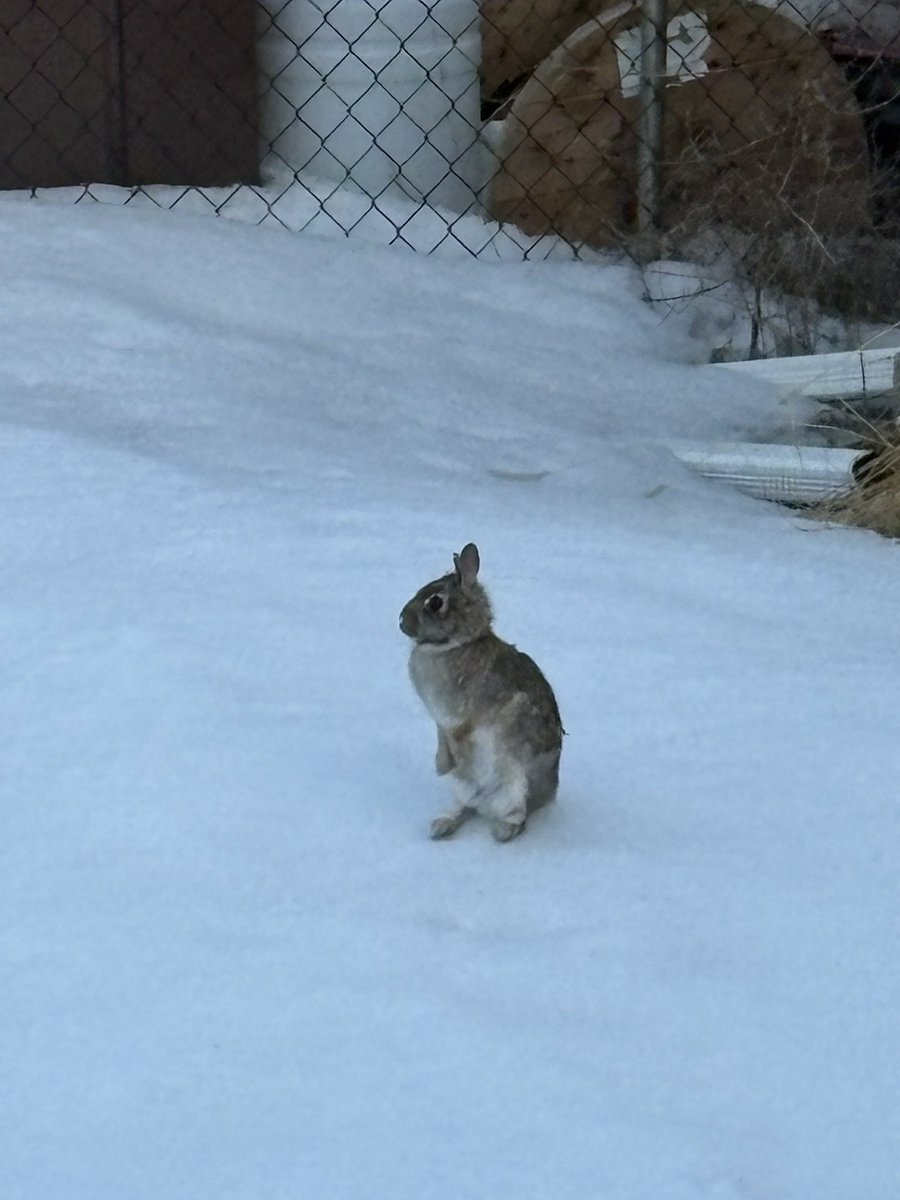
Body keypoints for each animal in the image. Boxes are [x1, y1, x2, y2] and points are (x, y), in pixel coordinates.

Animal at [399, 542, 563, 842]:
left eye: (435, 603)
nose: (401, 621)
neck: (455, 645)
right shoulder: (440, 721)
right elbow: (442, 737)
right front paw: (442, 766)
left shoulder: (472, 714)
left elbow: (463, 732)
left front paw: (454, 762)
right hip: (463, 791)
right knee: (465, 807)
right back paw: (442, 825)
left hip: (516, 788)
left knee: (517, 817)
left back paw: (503, 831)